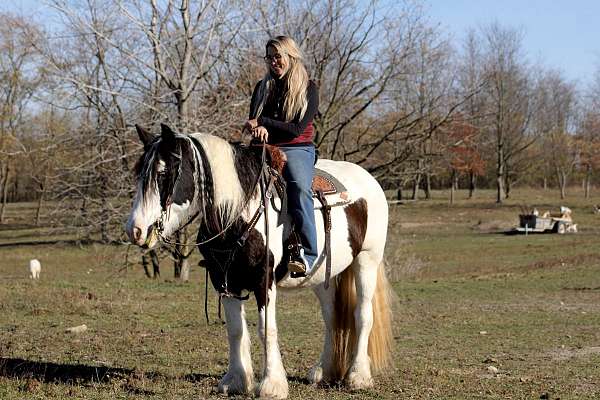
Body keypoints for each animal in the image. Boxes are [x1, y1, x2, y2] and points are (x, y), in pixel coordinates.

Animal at [125, 123, 394, 398]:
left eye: (163, 173)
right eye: (139, 174)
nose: (135, 230)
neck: (239, 211)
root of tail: (368, 179)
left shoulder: (264, 279)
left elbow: (267, 328)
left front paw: (272, 385)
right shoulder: (224, 280)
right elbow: (235, 330)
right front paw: (235, 380)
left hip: (367, 260)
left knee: (362, 314)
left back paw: (358, 376)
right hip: (323, 276)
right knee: (331, 317)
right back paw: (322, 371)